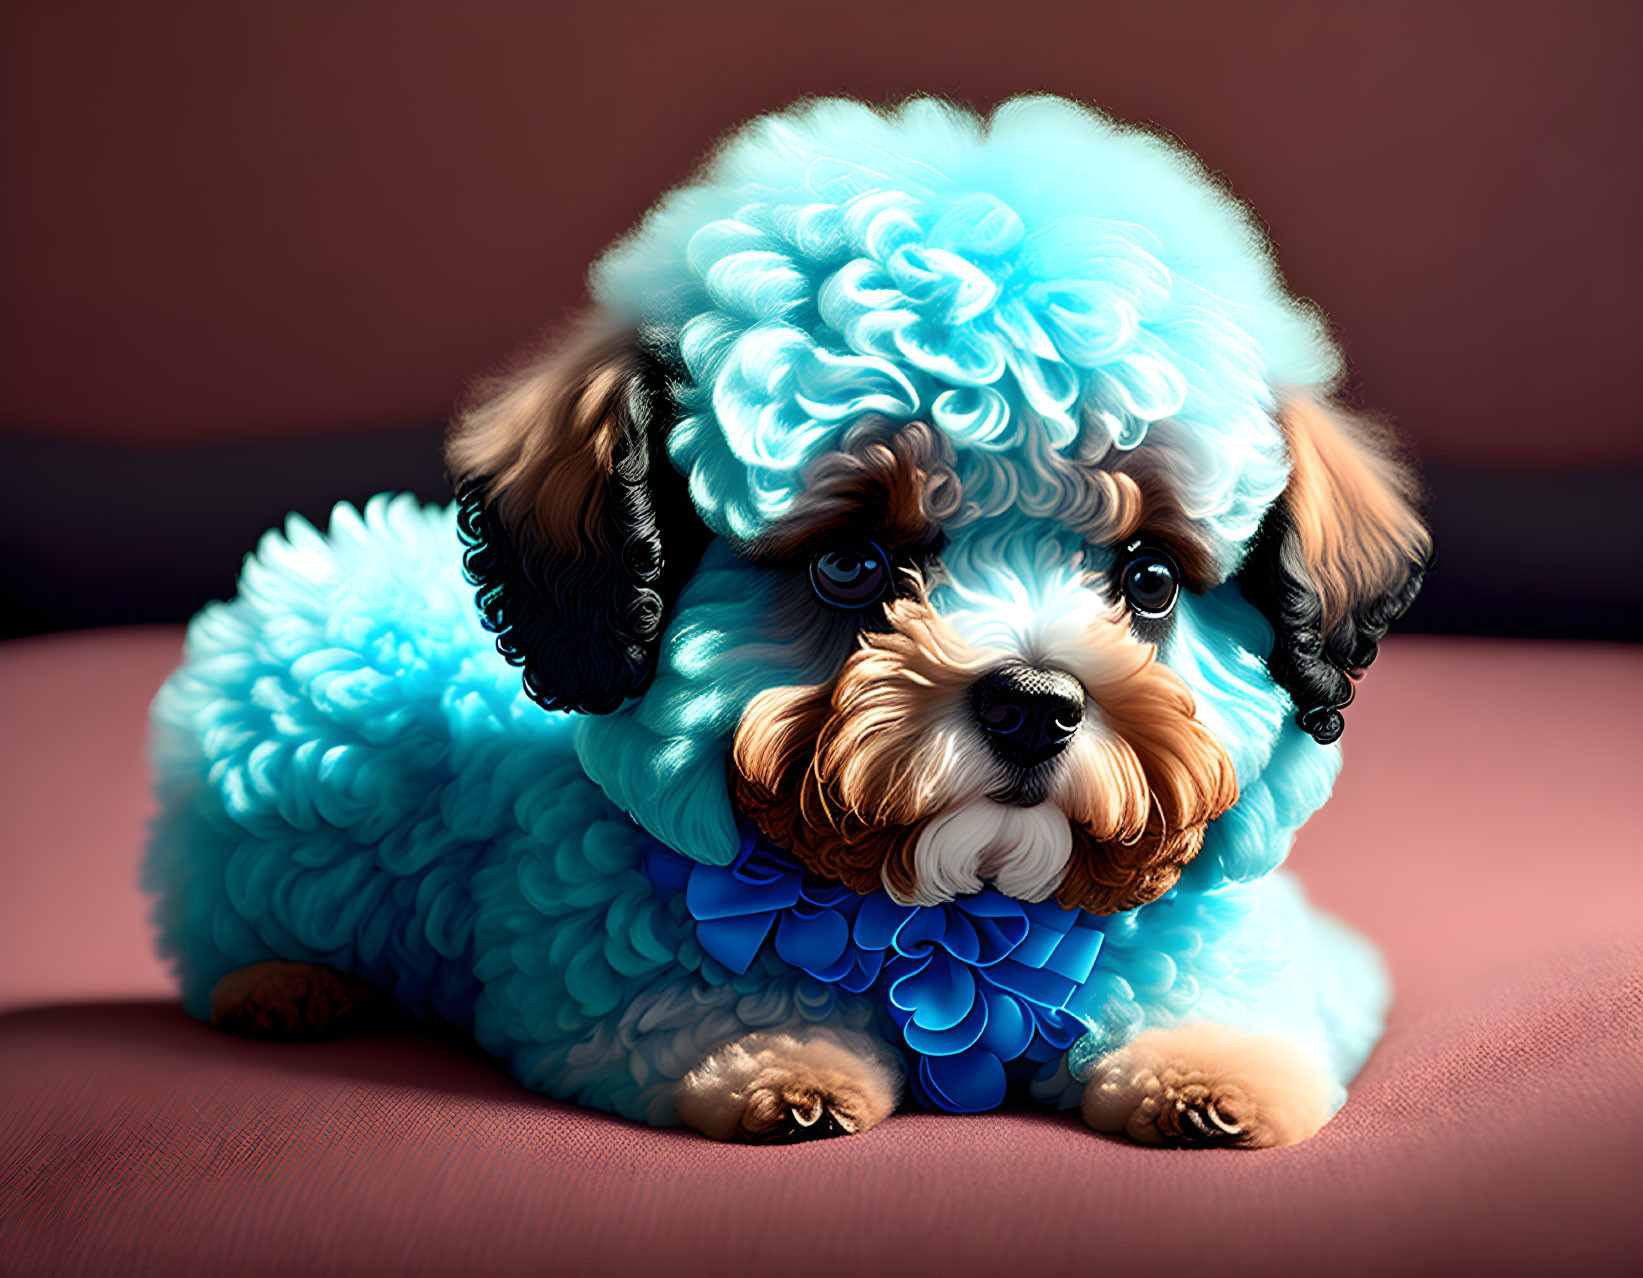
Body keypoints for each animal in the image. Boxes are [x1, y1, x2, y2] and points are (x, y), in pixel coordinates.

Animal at [144, 94, 1426, 1143]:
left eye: (1149, 580)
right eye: (850, 565)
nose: (1034, 704)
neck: (963, 924)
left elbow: (1230, 994)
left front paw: (1214, 1071)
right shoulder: (596, 958)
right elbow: (697, 1005)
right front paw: (779, 1062)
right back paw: (283, 986)